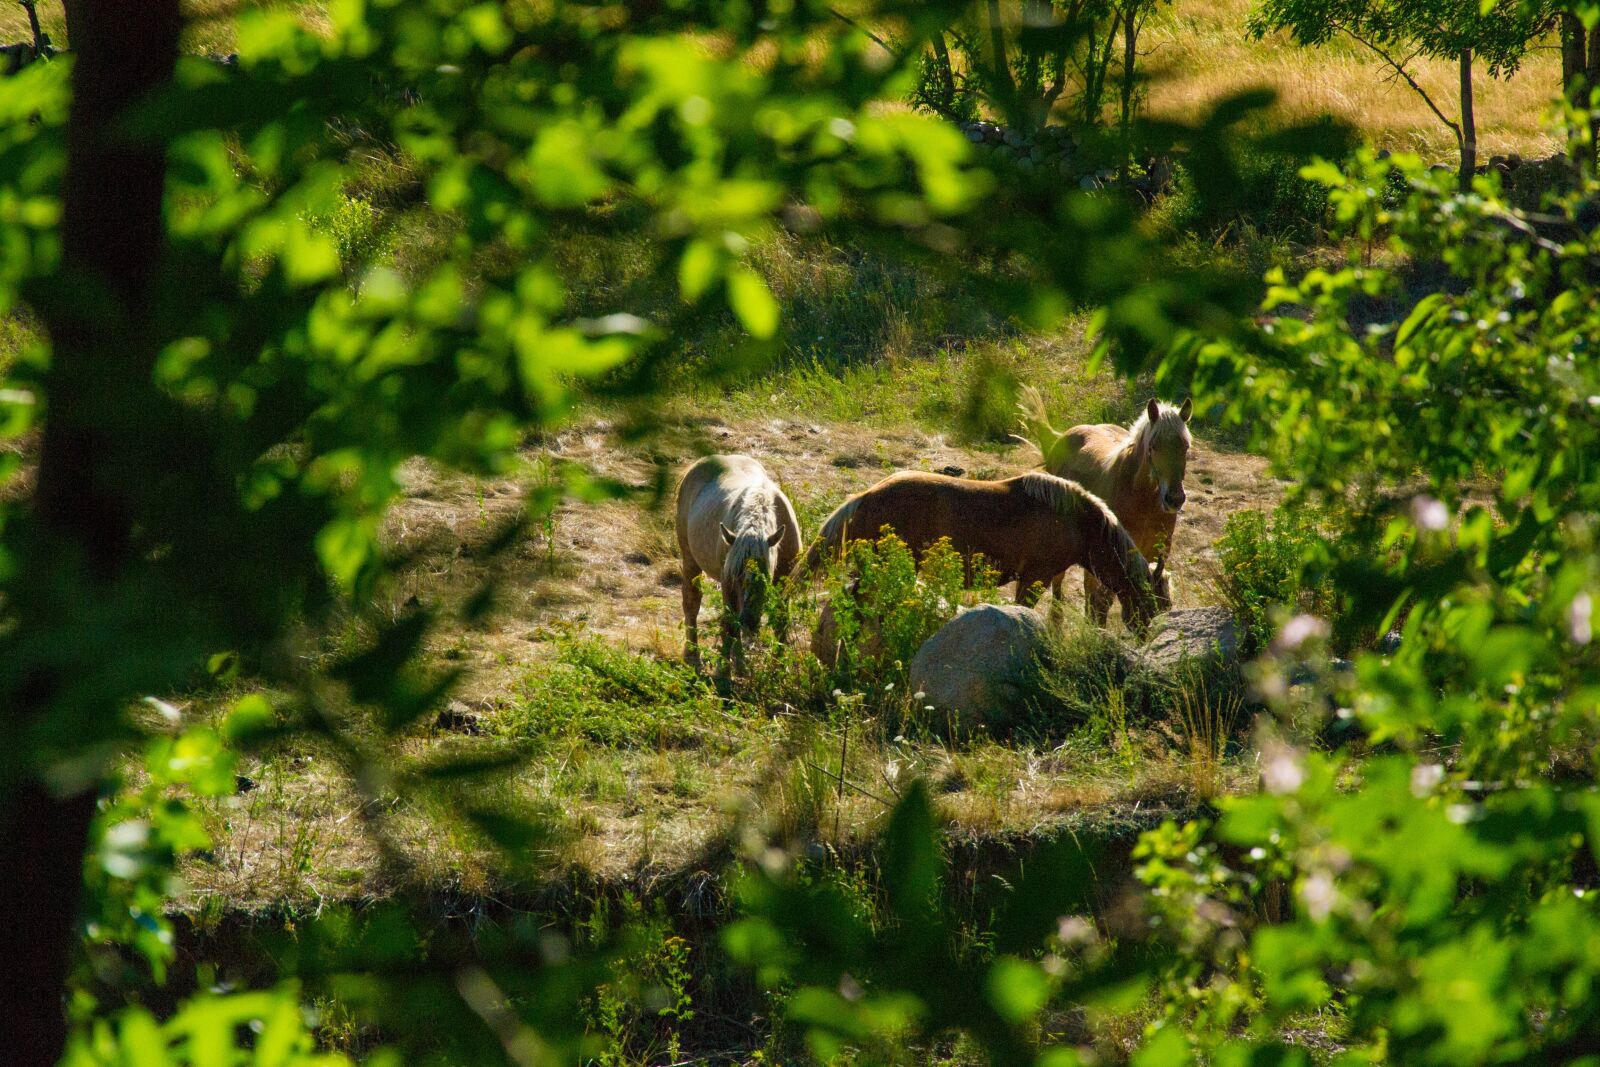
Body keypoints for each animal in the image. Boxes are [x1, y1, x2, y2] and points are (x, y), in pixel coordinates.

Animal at [675, 454, 803, 669]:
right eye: (737, 576)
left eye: (765, 576)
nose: (749, 621)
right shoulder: (728, 582)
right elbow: (729, 622)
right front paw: (726, 670)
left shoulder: (784, 580)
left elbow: (780, 620)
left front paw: (778, 663)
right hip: (690, 559)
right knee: (692, 602)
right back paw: (694, 655)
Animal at [1017, 388, 1190, 623]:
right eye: (1153, 447)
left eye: (1186, 447)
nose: (1174, 499)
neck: (1142, 503)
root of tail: (1060, 437)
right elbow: (1105, 600)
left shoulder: (1155, 554)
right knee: (1060, 583)